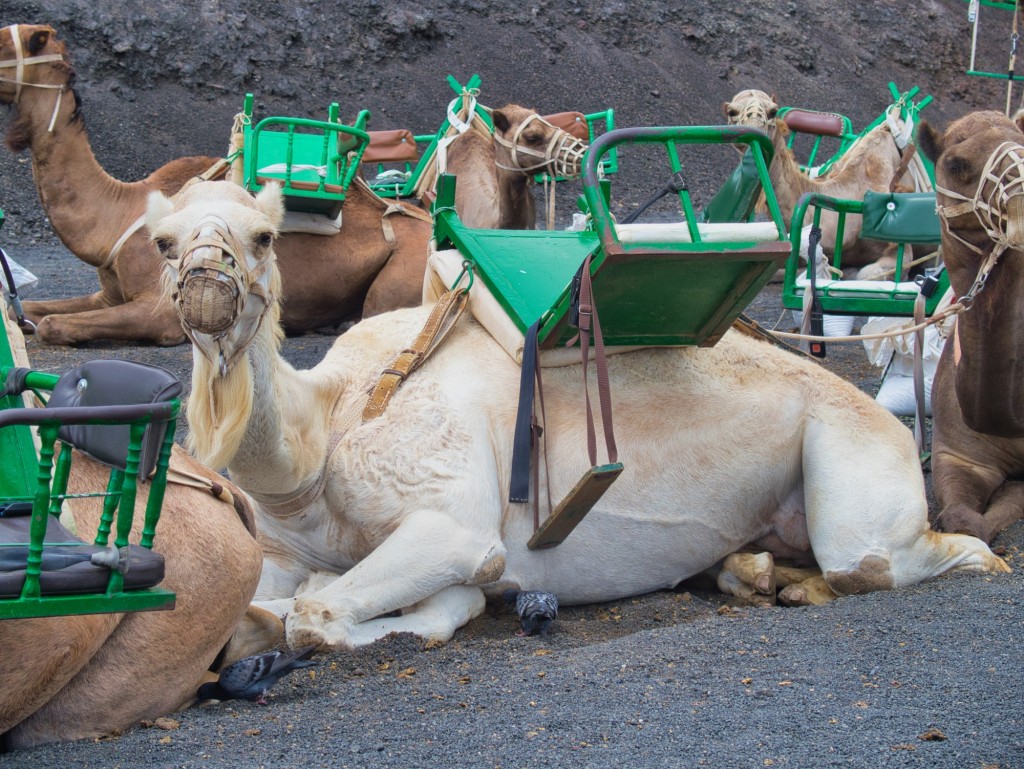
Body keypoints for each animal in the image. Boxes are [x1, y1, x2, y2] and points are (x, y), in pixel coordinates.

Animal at [0, 24, 432, 348]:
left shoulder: (161, 311)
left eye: (5, 42)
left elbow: (54, 325)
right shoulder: (108, 294)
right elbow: (29, 309)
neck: (119, 214)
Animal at [146, 180, 1007, 651]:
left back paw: (979, 560)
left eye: (263, 236)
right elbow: (263, 600)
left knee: (883, 559)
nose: (205, 284)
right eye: (161, 241)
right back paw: (761, 574)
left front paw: (453, 603)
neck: (331, 427)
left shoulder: (453, 526)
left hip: (855, 466)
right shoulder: (282, 548)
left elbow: (321, 608)